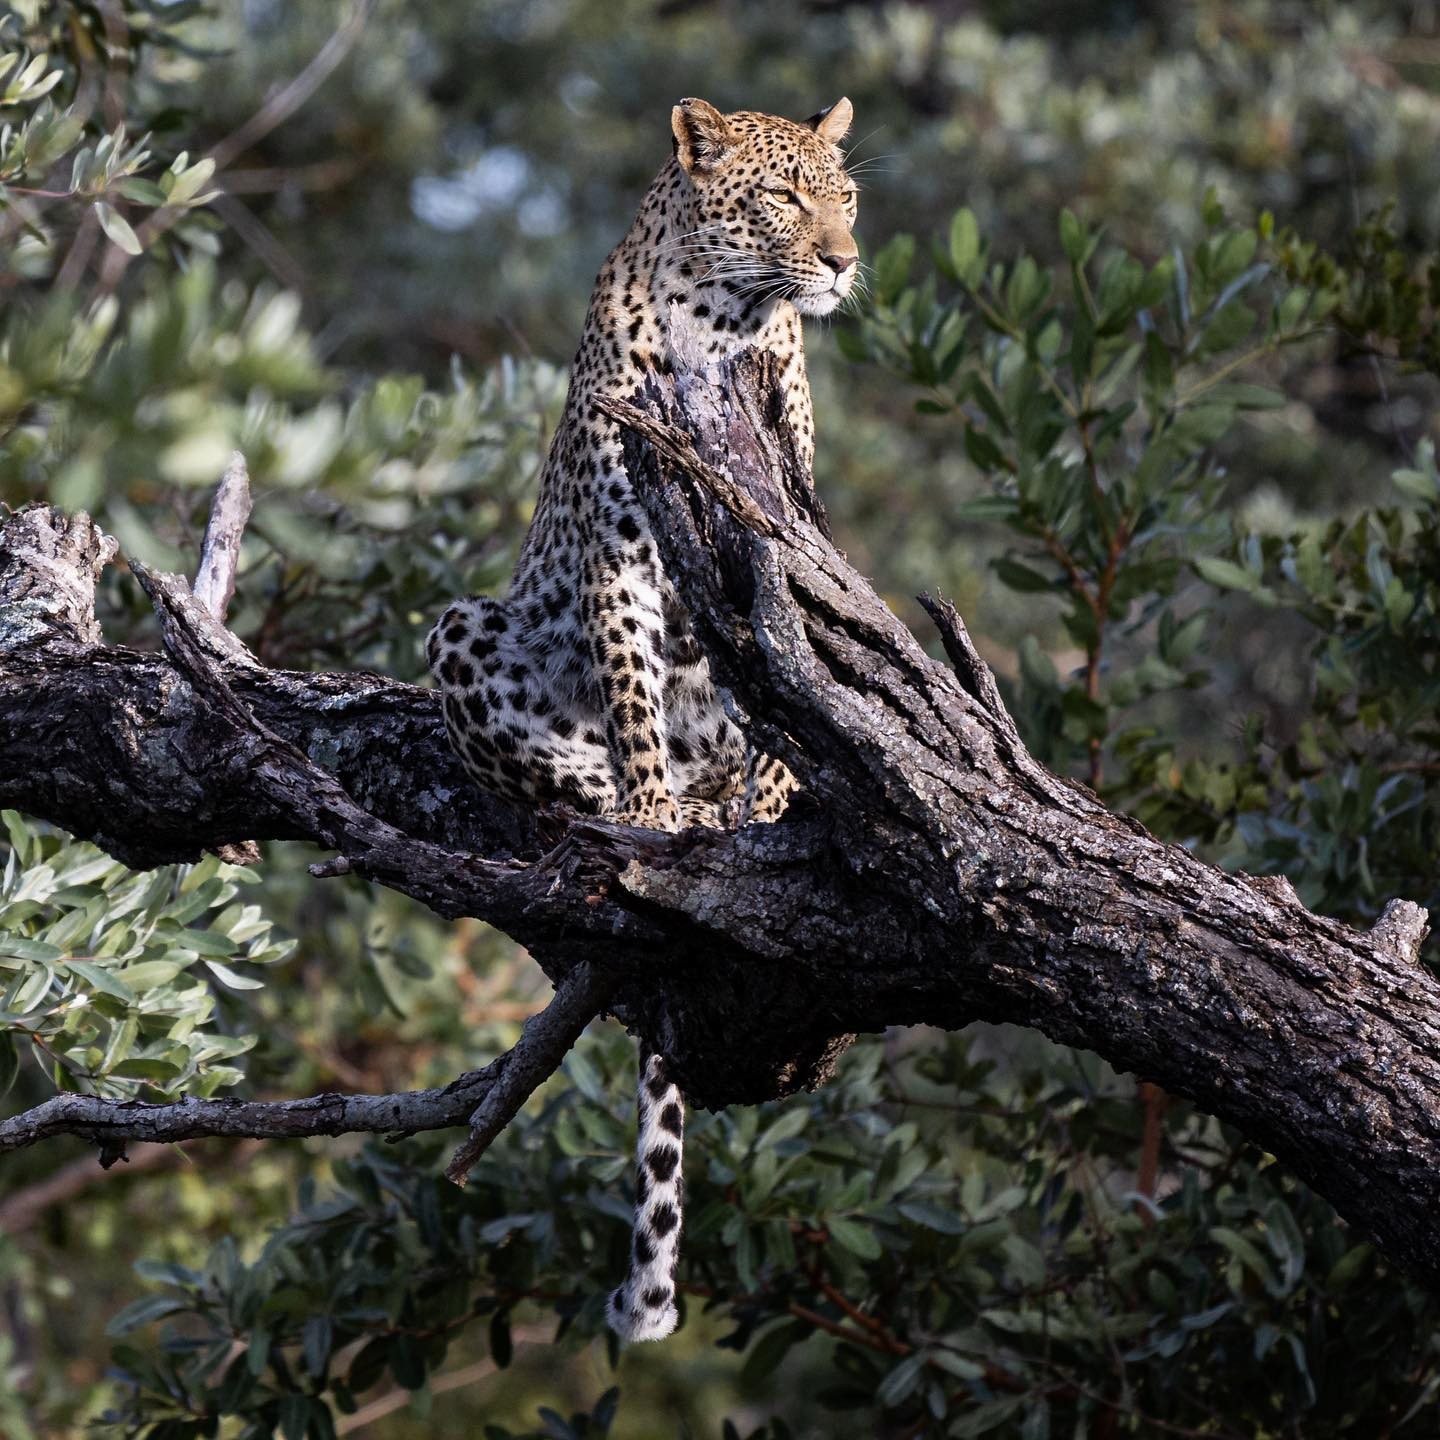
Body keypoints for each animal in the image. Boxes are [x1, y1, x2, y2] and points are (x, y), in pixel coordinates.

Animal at [427, 96, 859, 1343]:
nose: (842, 262)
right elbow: (627, 688)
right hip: (464, 628)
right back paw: (647, 818)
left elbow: (786, 694)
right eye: (783, 198)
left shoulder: (778, 532)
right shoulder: (620, 544)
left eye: (846, 197)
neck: (728, 323)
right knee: (564, 786)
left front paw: (768, 816)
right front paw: (658, 813)